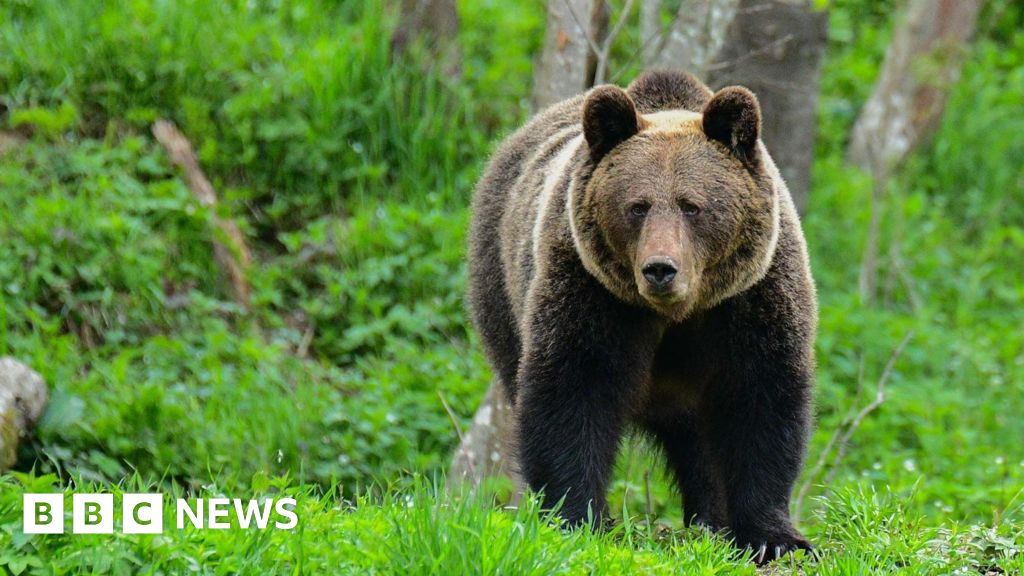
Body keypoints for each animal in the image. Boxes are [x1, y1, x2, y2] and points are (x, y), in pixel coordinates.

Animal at [467, 70, 816, 563]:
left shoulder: (751, 299)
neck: (678, 312)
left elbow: (761, 402)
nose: (660, 269)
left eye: (692, 205)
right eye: (637, 206)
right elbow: (572, 394)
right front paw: (579, 519)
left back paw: (711, 520)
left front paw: (774, 537)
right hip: (499, 285)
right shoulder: (592, 293)